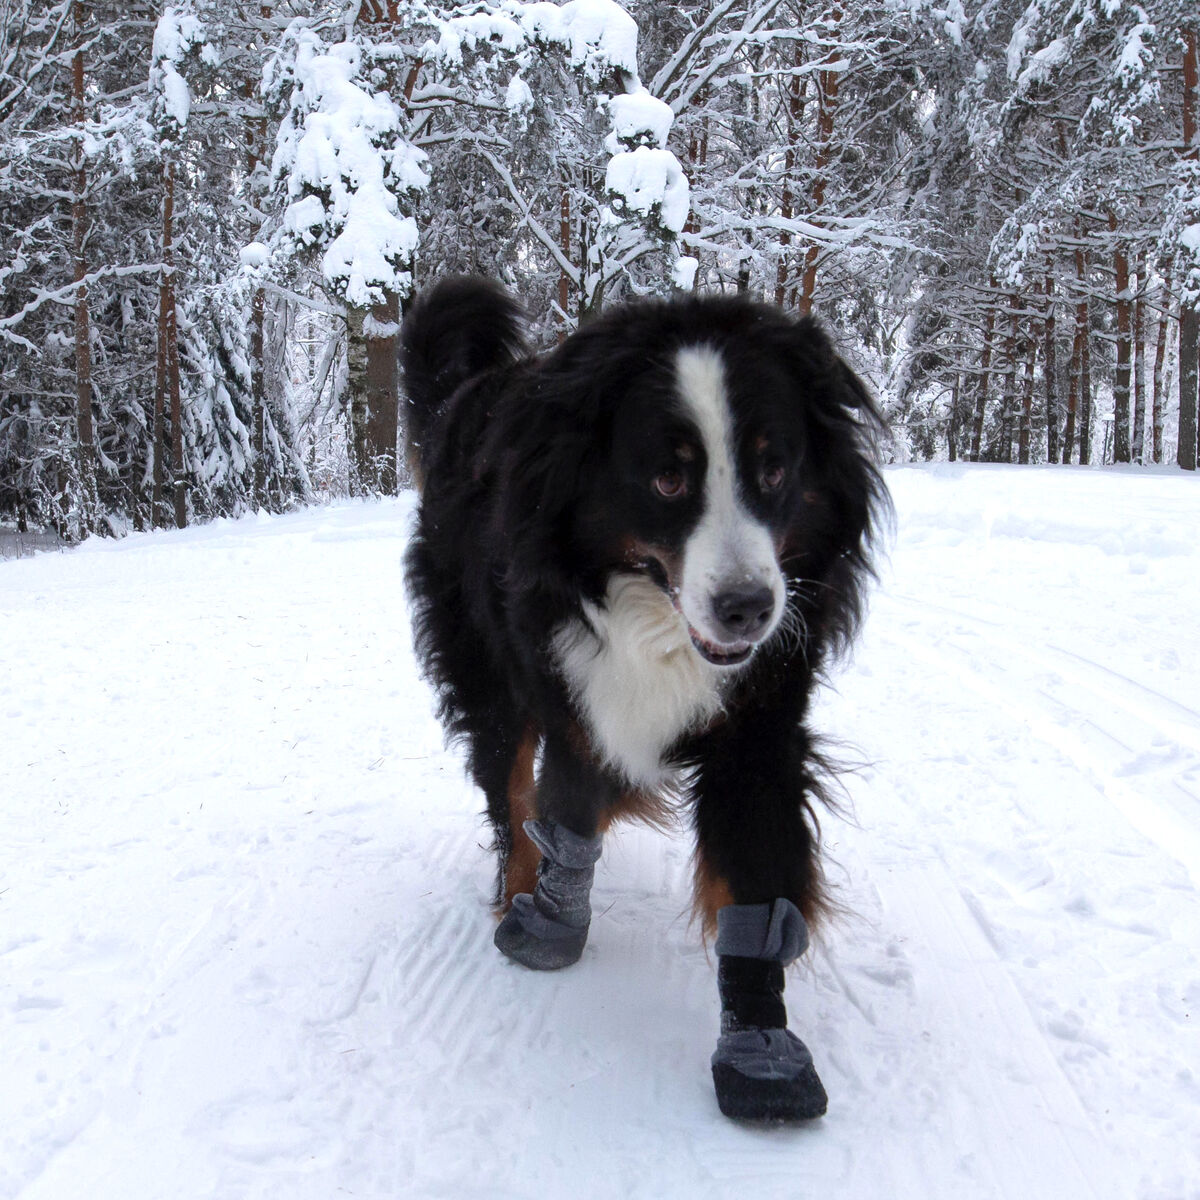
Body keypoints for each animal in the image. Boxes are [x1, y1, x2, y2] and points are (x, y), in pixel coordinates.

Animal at [400, 276, 883, 1118]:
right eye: (668, 478)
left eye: (774, 471)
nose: (748, 607)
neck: (654, 616)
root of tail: (464, 395)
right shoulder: (572, 687)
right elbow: (560, 808)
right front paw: (546, 925)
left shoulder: (760, 719)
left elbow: (753, 879)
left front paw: (761, 1052)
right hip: (484, 665)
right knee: (508, 787)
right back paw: (518, 886)